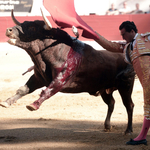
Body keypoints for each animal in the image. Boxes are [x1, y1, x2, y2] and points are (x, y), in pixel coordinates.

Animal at [0, 9, 135, 134]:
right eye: (23, 23)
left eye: (32, 27)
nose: (8, 30)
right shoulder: (38, 78)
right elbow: (23, 89)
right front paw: (6, 102)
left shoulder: (60, 80)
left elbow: (48, 91)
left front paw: (33, 105)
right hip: (104, 89)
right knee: (111, 103)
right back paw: (107, 125)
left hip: (125, 86)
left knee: (129, 105)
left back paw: (128, 130)